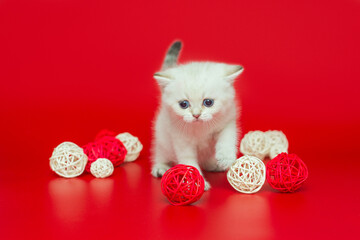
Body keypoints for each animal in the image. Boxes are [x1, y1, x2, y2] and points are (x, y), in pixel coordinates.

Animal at [150, 41, 243, 191]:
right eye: (183, 104)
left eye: (208, 102)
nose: (196, 115)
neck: (201, 129)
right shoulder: (180, 138)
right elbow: (188, 161)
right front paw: (196, 183)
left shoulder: (227, 120)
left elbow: (227, 138)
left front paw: (225, 157)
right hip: (162, 138)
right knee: (160, 153)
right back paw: (161, 167)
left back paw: (213, 164)